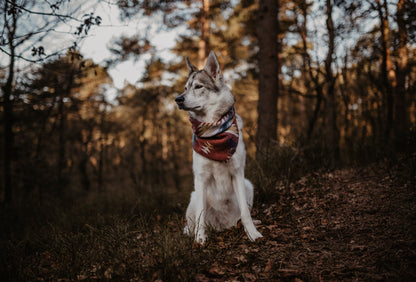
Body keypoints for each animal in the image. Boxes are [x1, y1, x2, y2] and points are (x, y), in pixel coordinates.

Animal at [174, 51, 262, 245]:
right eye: (185, 88)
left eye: (198, 87)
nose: (178, 99)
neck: (214, 131)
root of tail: (223, 226)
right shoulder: (201, 178)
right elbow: (201, 216)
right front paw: (200, 239)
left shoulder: (237, 173)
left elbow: (245, 213)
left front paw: (252, 233)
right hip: (194, 196)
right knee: (191, 224)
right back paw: (194, 233)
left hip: (248, 185)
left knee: (242, 214)